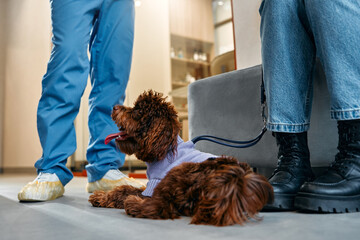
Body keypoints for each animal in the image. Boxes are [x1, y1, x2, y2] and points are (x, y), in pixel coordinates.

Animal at [89, 90, 272, 227]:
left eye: (138, 111)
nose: (114, 107)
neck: (165, 149)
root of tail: (233, 183)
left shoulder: (155, 183)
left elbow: (129, 192)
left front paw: (107, 198)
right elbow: (124, 188)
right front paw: (101, 197)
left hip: (179, 172)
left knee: (161, 207)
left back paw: (133, 204)